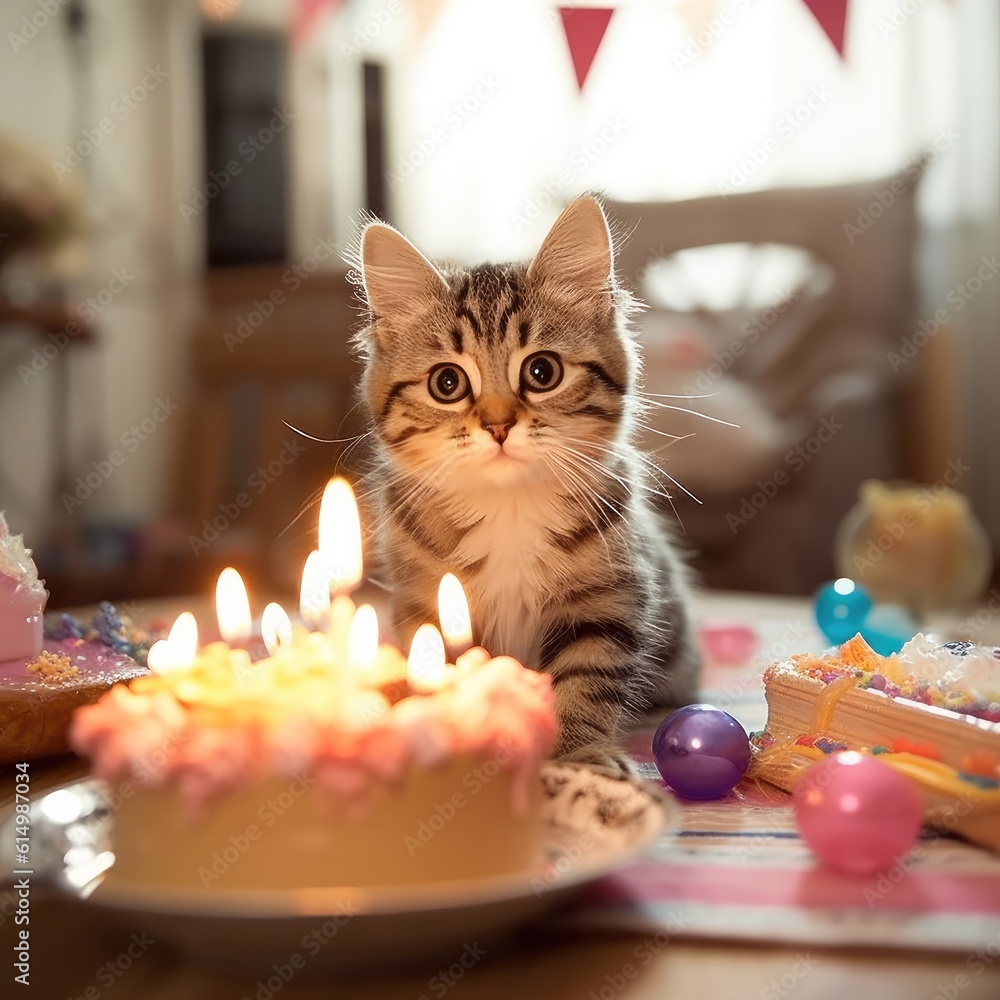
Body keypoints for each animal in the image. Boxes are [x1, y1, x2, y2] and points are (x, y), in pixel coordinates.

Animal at [358, 195, 696, 772]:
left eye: (542, 372)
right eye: (446, 383)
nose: (497, 425)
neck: (508, 508)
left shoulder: (605, 599)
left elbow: (586, 677)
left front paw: (577, 754)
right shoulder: (431, 603)